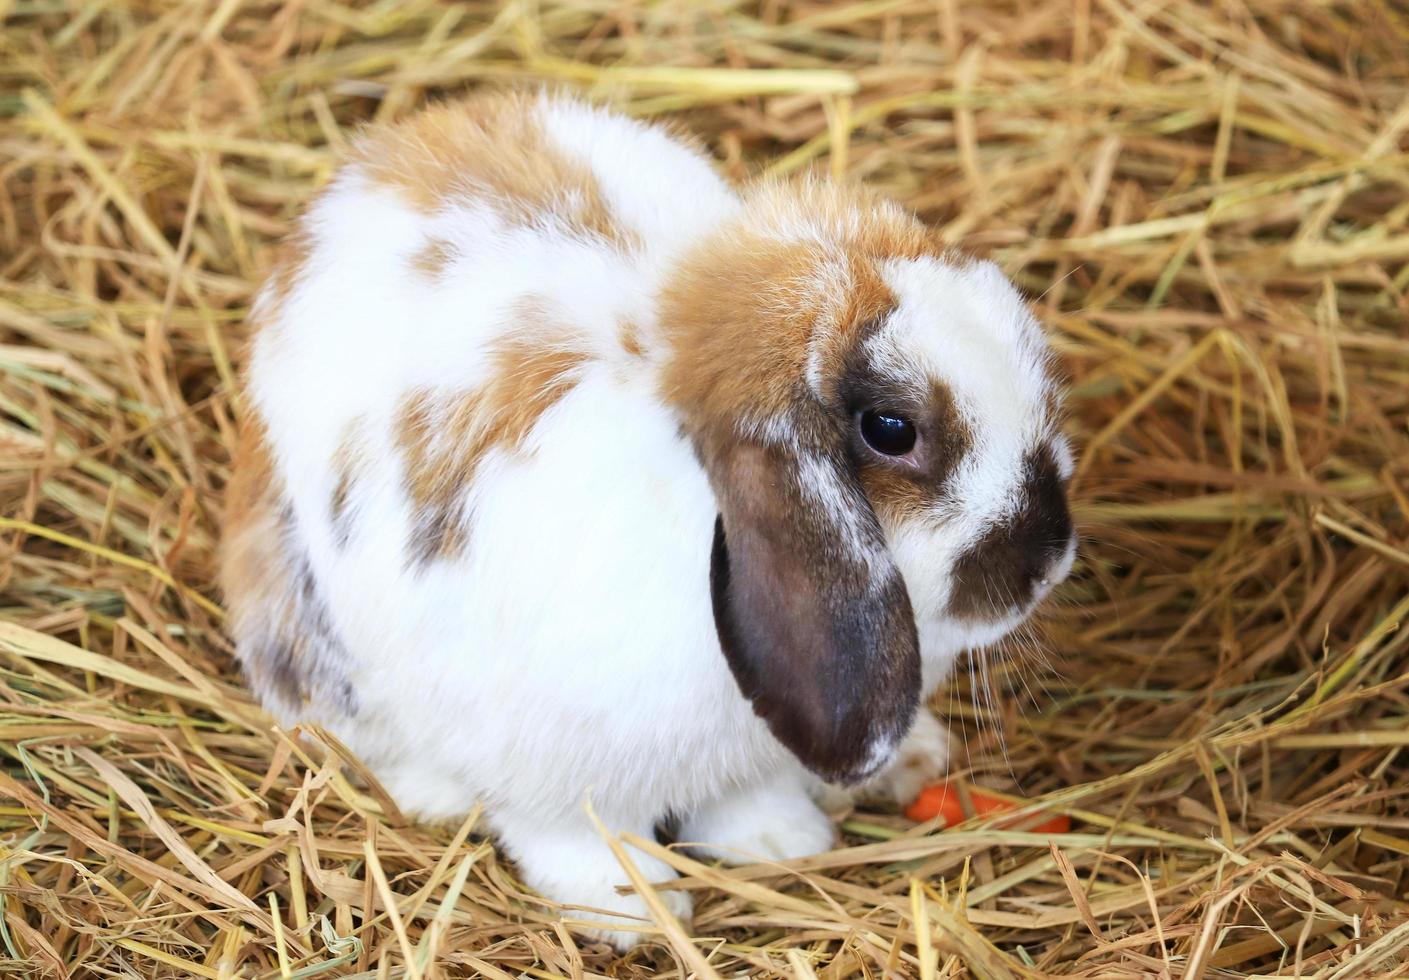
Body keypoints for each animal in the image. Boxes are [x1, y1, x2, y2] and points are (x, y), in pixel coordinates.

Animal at [222, 90, 1076, 951]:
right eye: (891, 430)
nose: (1046, 561)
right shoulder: (549, 775)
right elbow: (572, 839)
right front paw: (634, 912)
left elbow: (747, 800)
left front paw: (779, 842)